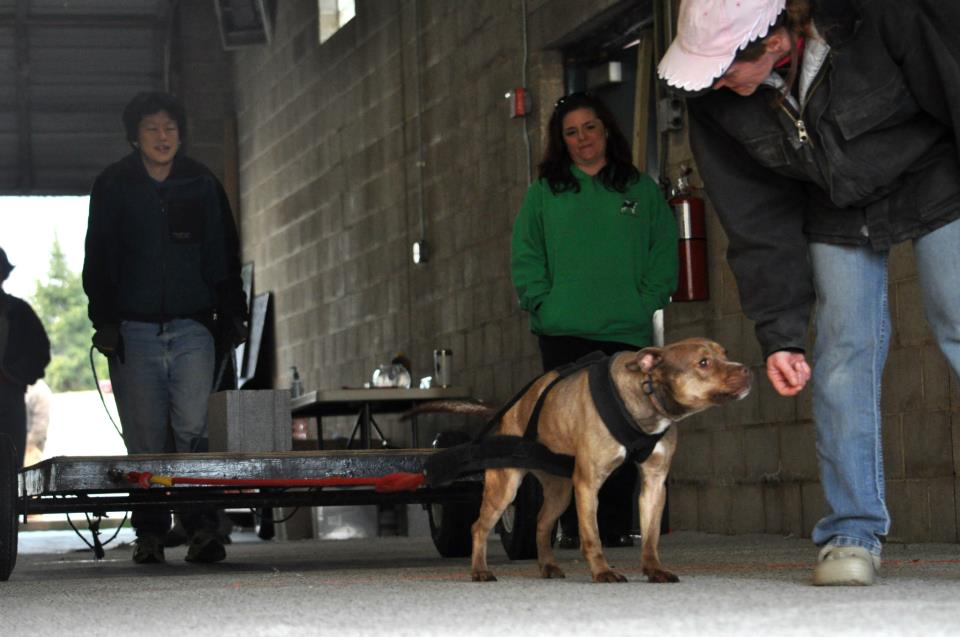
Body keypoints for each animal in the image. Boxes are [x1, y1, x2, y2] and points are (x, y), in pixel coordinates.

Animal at [424, 338, 752, 580]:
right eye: (703, 363)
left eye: (725, 354)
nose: (747, 369)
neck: (644, 396)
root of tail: (509, 411)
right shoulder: (588, 483)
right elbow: (591, 536)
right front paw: (603, 572)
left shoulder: (654, 484)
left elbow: (650, 536)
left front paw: (654, 569)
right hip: (505, 488)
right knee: (478, 527)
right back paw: (480, 570)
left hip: (559, 491)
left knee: (542, 523)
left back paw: (548, 566)